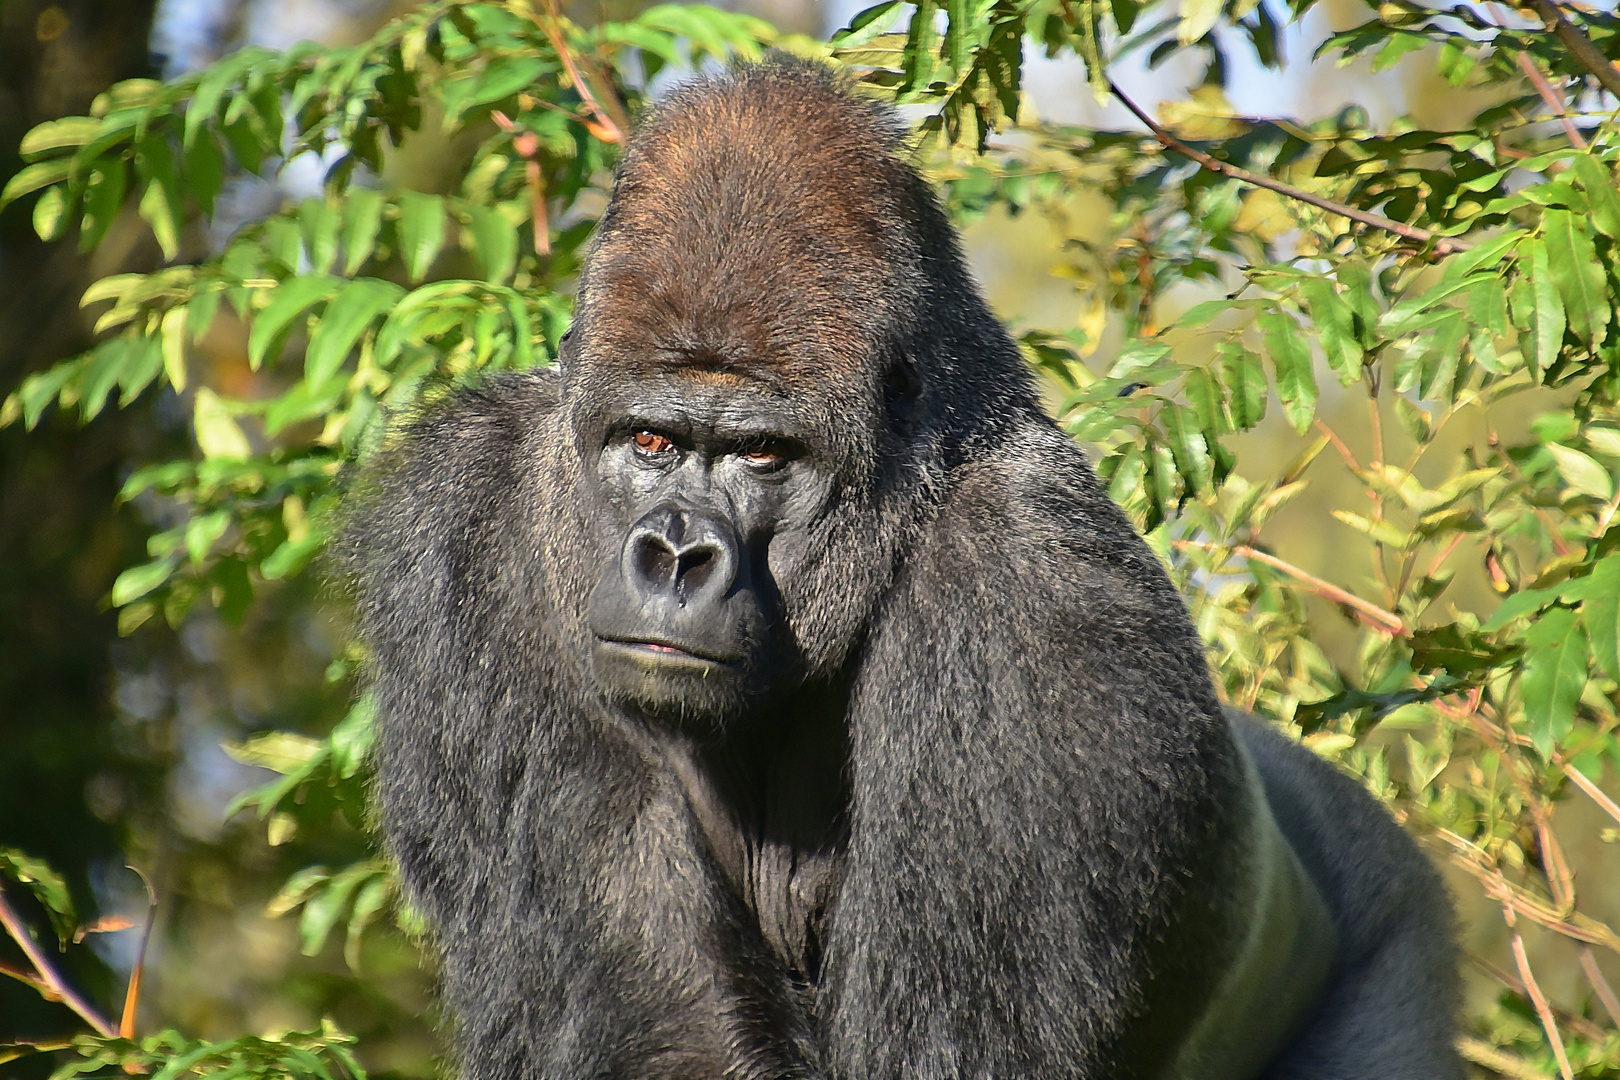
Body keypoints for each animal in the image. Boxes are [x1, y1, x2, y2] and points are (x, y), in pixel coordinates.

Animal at [358, 57, 1470, 1080]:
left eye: (764, 455)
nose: (675, 556)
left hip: (1399, 918)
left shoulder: (1027, 593)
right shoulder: (474, 523)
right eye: (650, 442)